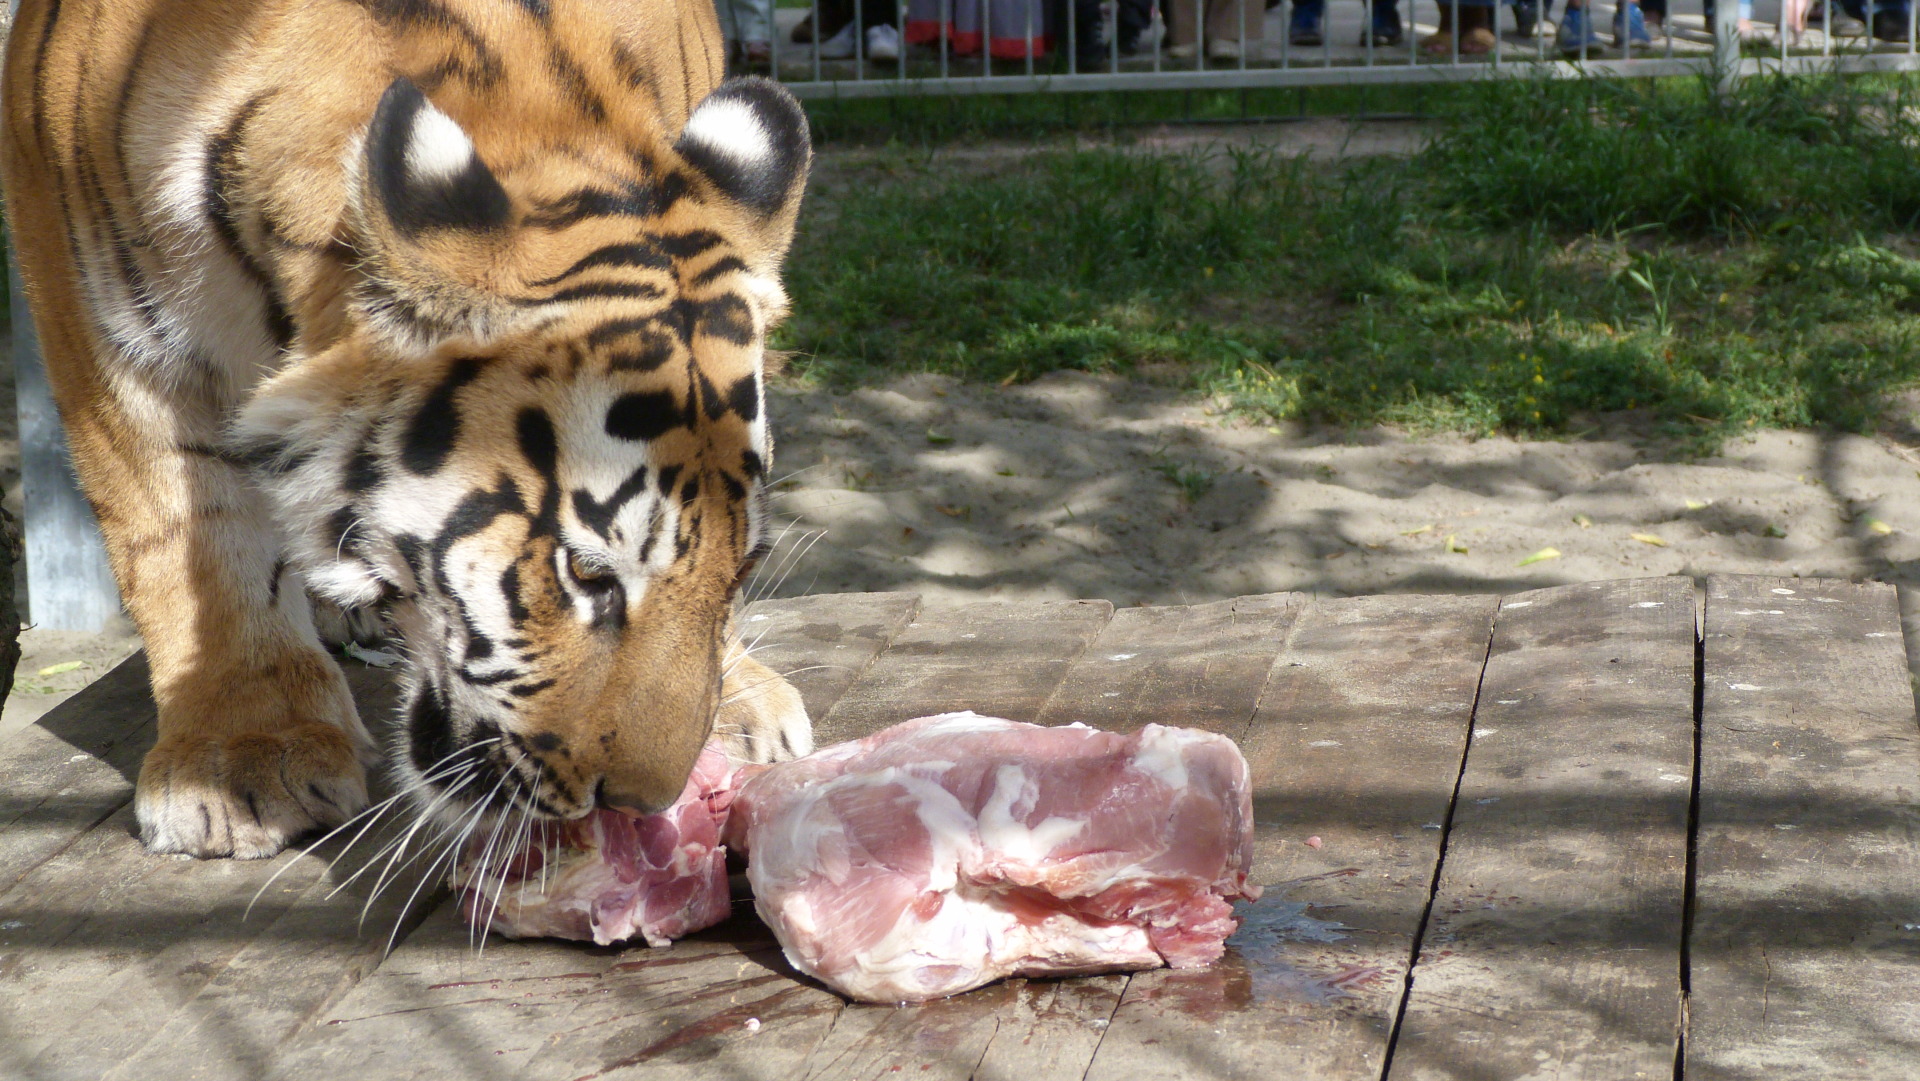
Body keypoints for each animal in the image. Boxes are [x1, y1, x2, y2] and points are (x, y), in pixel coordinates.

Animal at [1, 0, 815, 860]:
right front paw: (242, 755)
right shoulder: (96, 306)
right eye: (586, 573)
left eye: (745, 564)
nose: (641, 801)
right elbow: (187, 536)